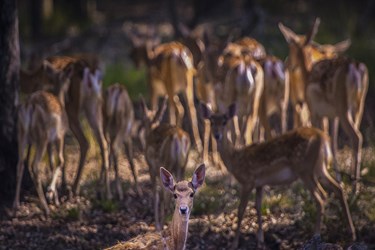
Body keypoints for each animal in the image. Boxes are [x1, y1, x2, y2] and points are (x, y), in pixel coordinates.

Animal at [45, 54, 111, 199]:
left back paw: (74, 189)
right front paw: (62, 185)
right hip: (93, 105)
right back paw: (102, 189)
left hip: (72, 109)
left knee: (85, 142)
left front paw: (56, 188)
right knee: (104, 142)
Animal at [141, 96, 192, 231]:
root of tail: (179, 138)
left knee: (164, 195)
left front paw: (157, 224)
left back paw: (162, 225)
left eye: (144, 120)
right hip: (182, 164)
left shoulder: (151, 167)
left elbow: (156, 193)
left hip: (166, 163)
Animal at [201, 102, 356, 250]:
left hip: (304, 168)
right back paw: (351, 232)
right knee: (338, 188)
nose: (217, 135)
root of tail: (322, 137)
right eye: (211, 122)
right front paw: (260, 241)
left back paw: (317, 235)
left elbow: (240, 210)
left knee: (321, 196)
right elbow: (258, 207)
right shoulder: (259, 183)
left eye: (224, 121)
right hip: (319, 167)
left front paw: (234, 244)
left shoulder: (248, 180)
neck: (235, 160)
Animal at [280, 20, 370, 190]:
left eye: (290, 46)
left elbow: (323, 136)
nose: (287, 64)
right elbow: (333, 142)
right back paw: (354, 183)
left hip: (342, 105)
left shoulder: (315, 111)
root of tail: (355, 69)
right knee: (356, 135)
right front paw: (337, 179)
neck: (306, 74)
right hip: (358, 104)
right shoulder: (331, 115)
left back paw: (354, 189)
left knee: (356, 136)